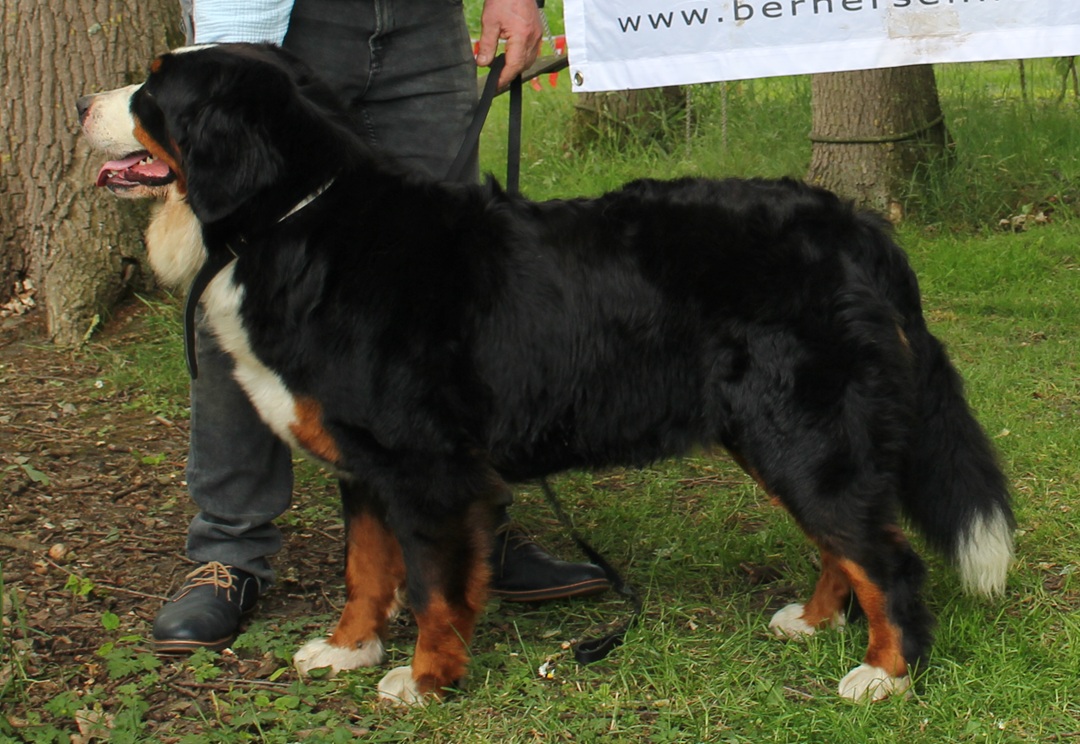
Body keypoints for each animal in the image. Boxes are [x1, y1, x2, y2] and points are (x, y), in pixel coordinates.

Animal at [78, 43, 1015, 705]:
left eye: (152, 93)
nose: (82, 104)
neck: (295, 219)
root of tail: (857, 224)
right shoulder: (365, 460)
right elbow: (367, 570)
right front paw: (348, 649)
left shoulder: (421, 463)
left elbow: (431, 584)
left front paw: (423, 680)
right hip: (777, 435)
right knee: (843, 542)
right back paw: (814, 622)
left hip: (803, 431)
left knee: (884, 558)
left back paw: (884, 673)